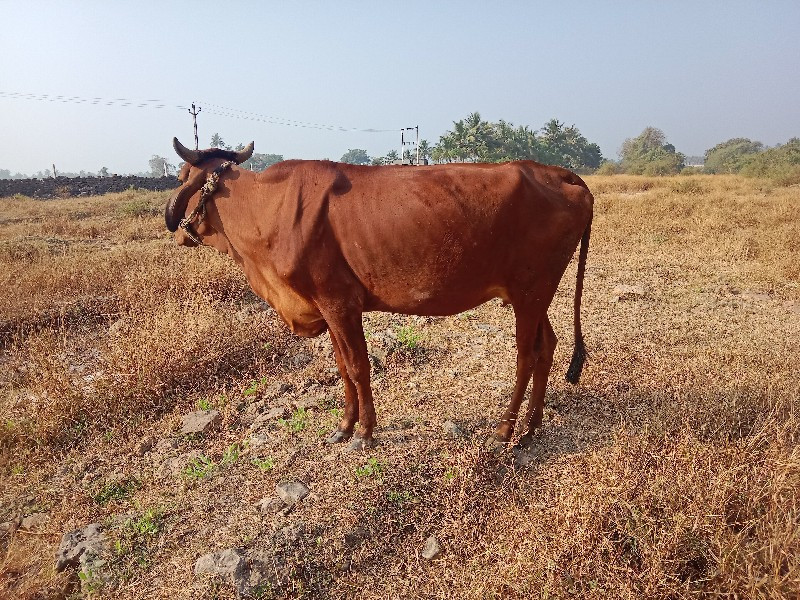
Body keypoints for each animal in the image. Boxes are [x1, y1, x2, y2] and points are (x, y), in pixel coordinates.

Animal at [166, 138, 592, 450]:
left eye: (182, 175)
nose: (173, 224)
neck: (267, 211)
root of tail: (560, 173)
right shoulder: (327, 307)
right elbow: (342, 367)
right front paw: (344, 426)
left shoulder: (339, 303)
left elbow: (358, 367)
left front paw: (365, 432)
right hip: (533, 292)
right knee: (547, 346)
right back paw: (531, 427)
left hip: (531, 291)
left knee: (527, 354)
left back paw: (505, 429)